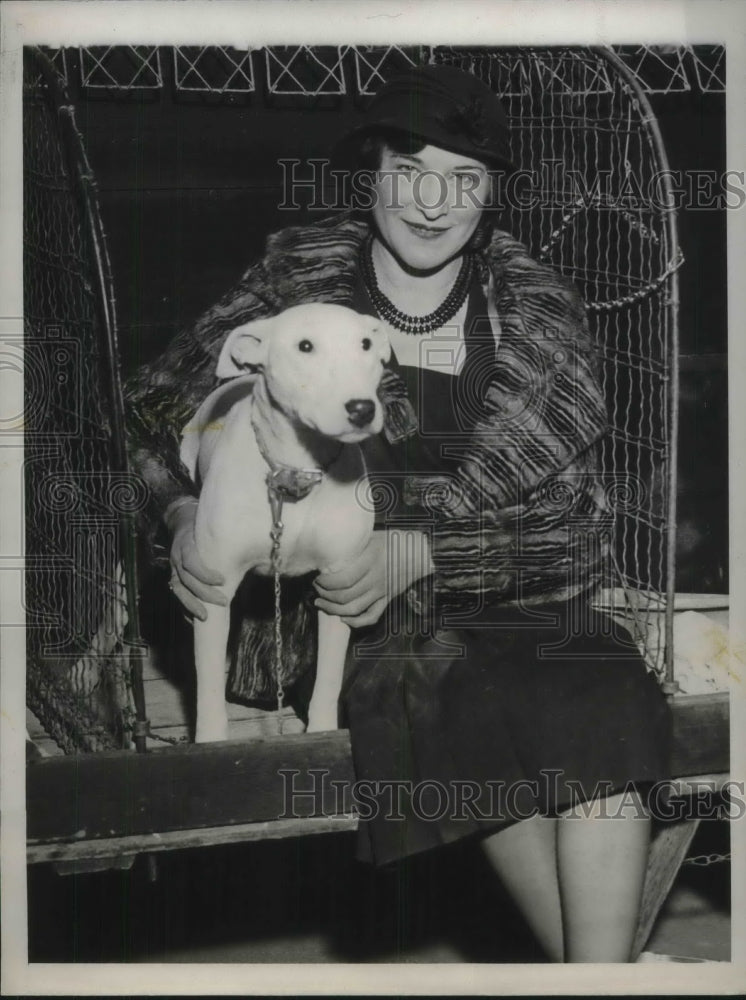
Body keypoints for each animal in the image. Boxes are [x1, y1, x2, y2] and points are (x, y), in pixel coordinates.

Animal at [180, 304, 390, 744]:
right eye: (304, 346)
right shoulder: (213, 590)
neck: (297, 468)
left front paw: (323, 731)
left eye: (366, 343)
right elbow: (208, 686)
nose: (362, 409)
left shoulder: (338, 584)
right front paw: (209, 742)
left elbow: (328, 677)